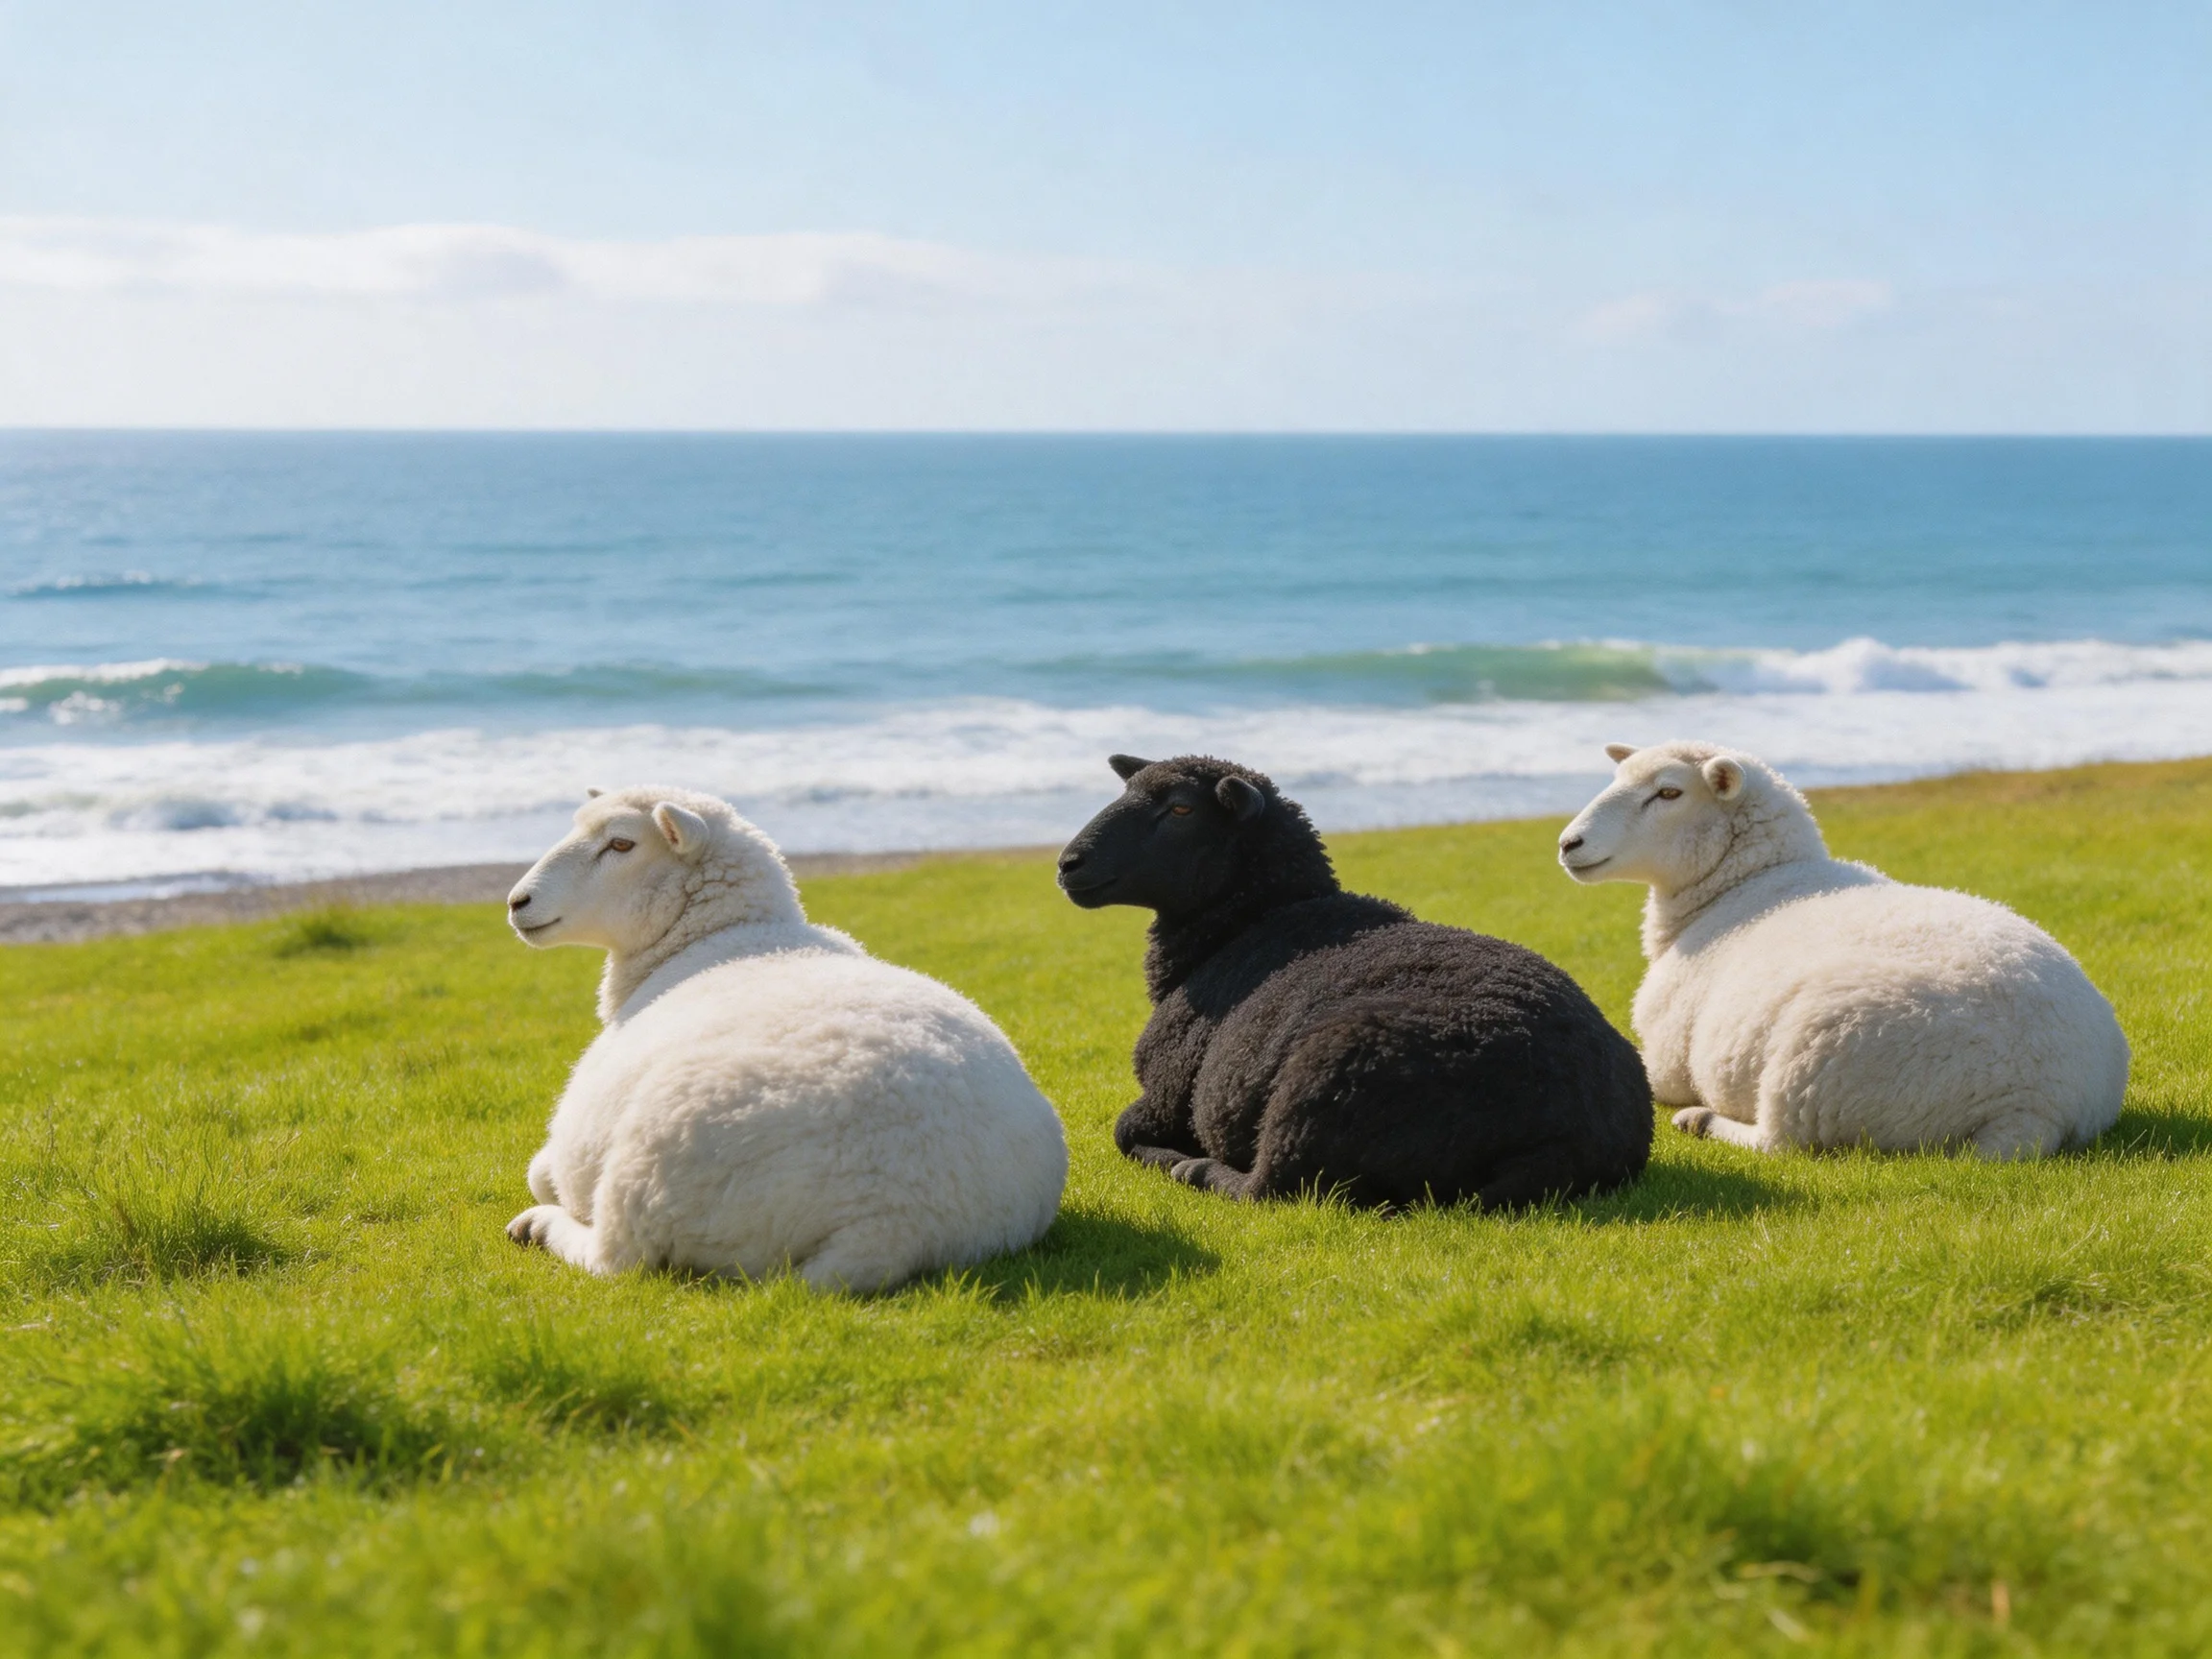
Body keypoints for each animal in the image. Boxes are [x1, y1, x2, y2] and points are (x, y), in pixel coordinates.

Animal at [503, 786, 1067, 1291]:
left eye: (621, 844)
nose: (516, 901)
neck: (718, 938)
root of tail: (895, 1221)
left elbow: (539, 1170)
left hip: (648, 1169)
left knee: (618, 1260)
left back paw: (539, 1227)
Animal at [1057, 753, 1652, 1208]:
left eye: (1180, 808)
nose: (1067, 863)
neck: (1248, 924)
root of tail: (1573, 1136)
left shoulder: (1166, 1091)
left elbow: (1123, 1130)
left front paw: (1164, 1154)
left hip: (1315, 1090)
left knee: (1273, 1189)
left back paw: (1192, 1169)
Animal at [1557, 741, 2128, 1159]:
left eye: (1669, 793)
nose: (1568, 843)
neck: (1745, 886)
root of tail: (2037, 1103)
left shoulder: (1668, 1059)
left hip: (1813, 1069)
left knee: (1781, 1144)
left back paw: (1701, 1121)